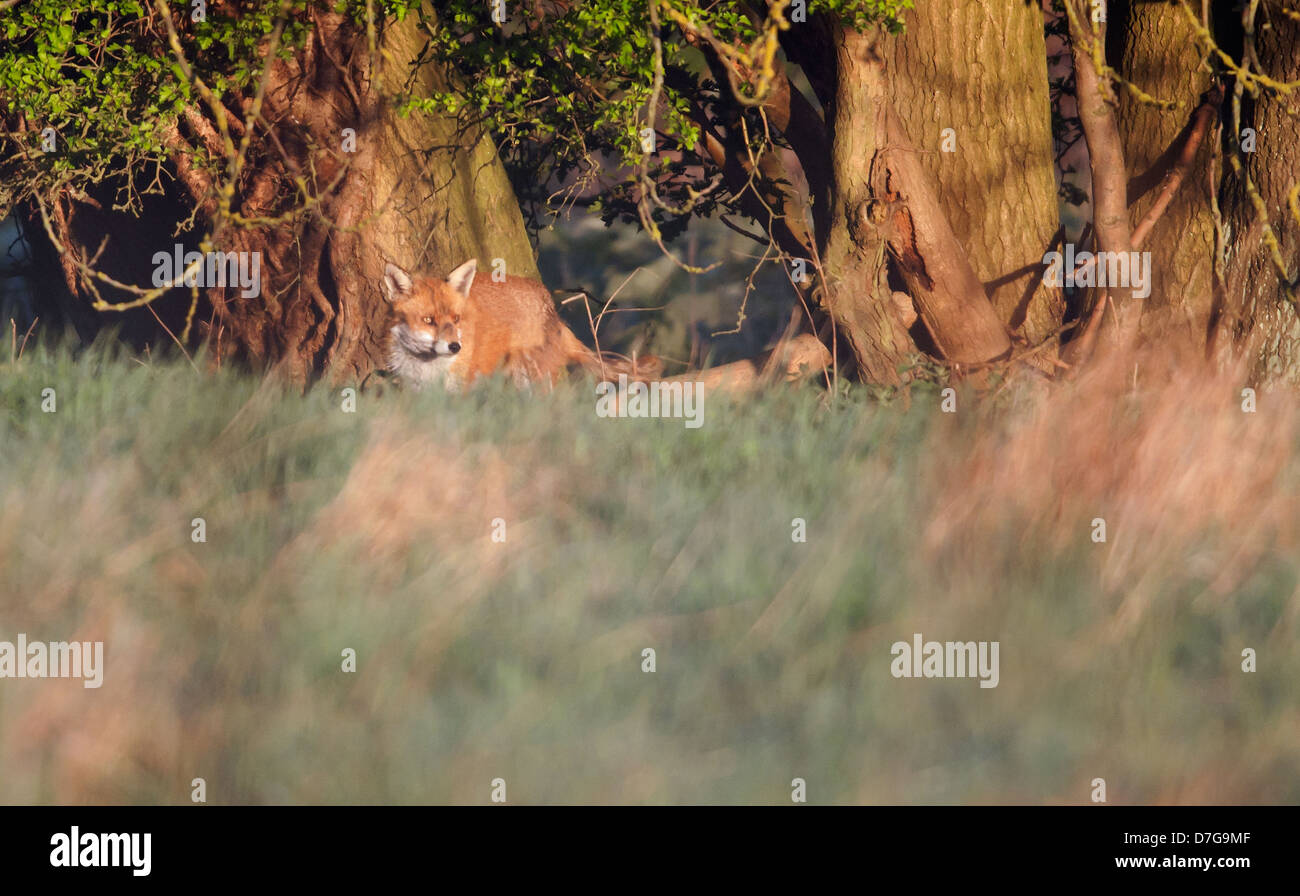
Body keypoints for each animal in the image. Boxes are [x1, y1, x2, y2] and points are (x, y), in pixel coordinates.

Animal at [381, 258, 661, 390]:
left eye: (456, 319)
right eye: (428, 320)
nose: (454, 347)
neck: (427, 368)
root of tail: (549, 303)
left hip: (535, 380)